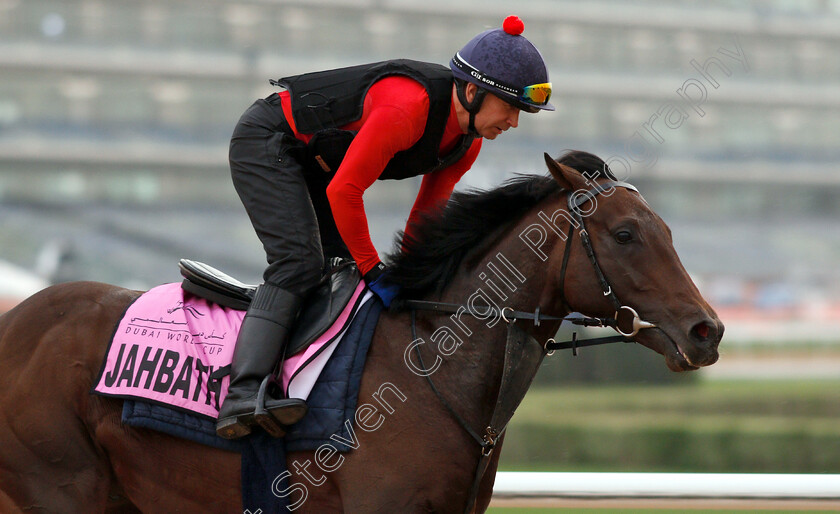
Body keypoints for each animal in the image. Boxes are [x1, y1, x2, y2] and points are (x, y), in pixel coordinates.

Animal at [0, 150, 720, 510]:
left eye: (668, 230)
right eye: (625, 234)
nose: (706, 331)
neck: (430, 368)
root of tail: (17, 321)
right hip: (60, 488)